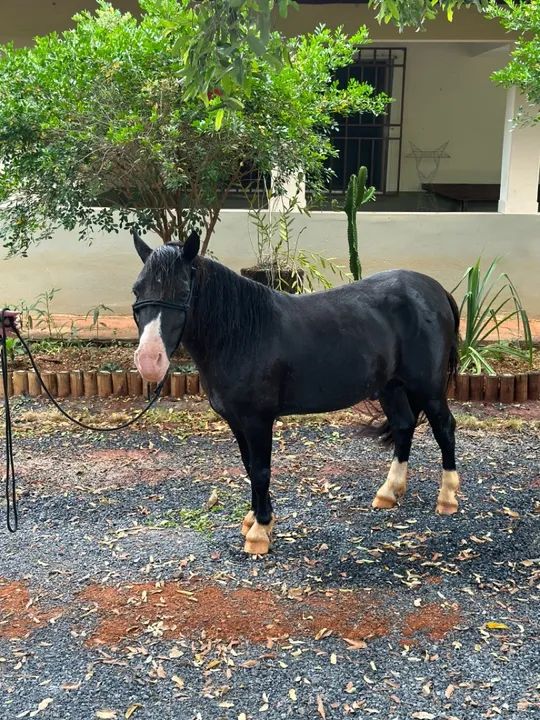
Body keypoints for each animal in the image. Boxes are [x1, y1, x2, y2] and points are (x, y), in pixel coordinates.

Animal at [131, 230, 460, 555]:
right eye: (137, 291)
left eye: (183, 292)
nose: (149, 361)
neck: (241, 335)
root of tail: (435, 290)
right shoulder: (237, 421)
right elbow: (249, 467)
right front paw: (254, 520)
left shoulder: (258, 420)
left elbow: (261, 470)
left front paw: (260, 531)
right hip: (390, 387)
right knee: (404, 426)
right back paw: (389, 493)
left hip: (428, 388)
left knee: (444, 427)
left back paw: (447, 499)